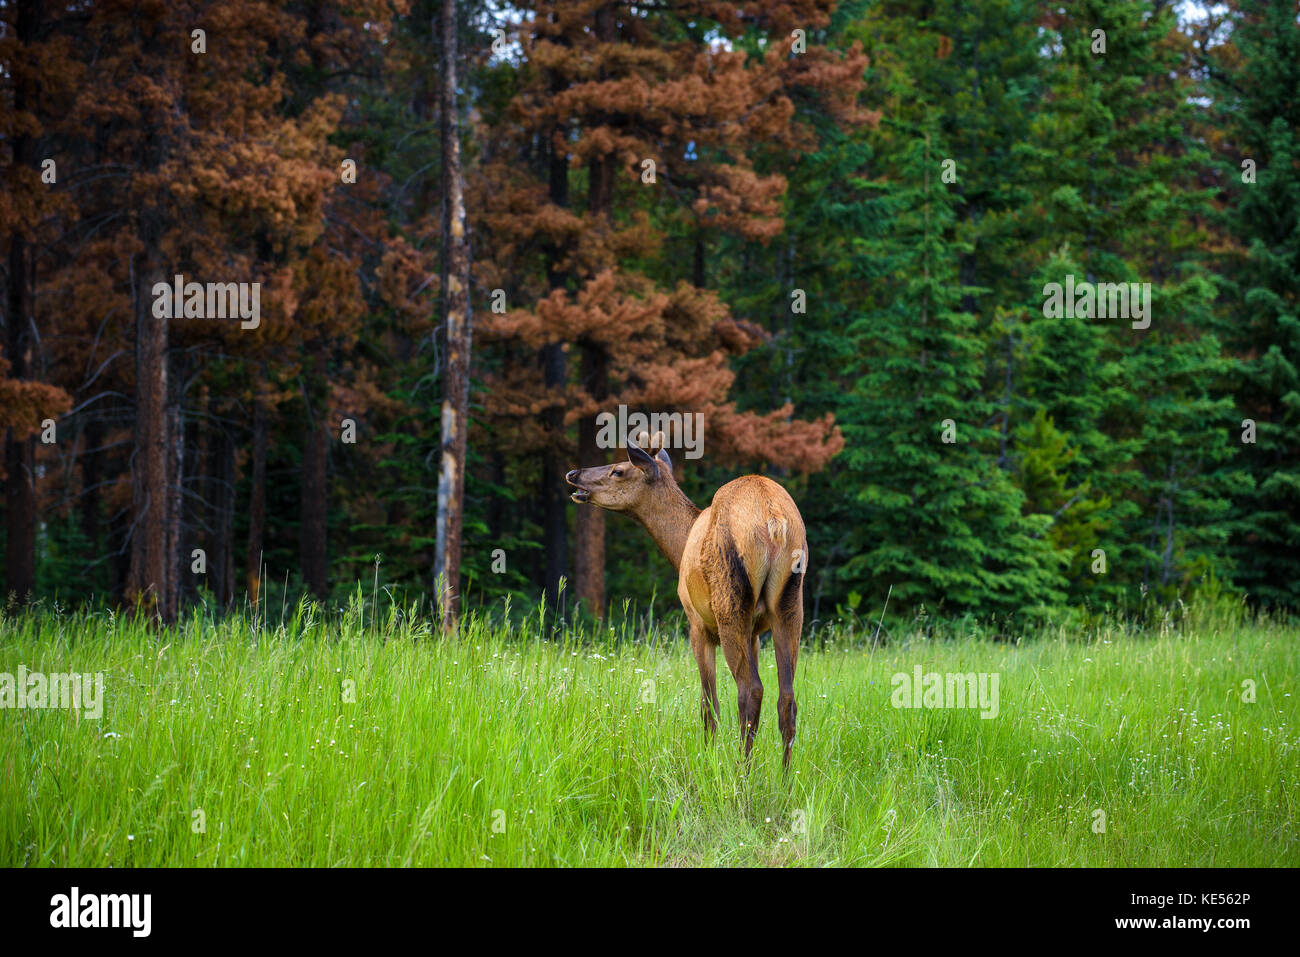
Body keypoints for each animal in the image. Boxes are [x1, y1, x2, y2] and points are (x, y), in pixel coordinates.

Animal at [566, 429, 806, 764]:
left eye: (618, 470)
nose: (573, 474)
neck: (679, 549)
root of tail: (774, 520)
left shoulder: (696, 623)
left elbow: (708, 705)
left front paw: (707, 760)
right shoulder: (756, 634)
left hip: (729, 604)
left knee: (750, 691)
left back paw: (741, 772)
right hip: (790, 603)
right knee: (787, 698)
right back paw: (784, 777)